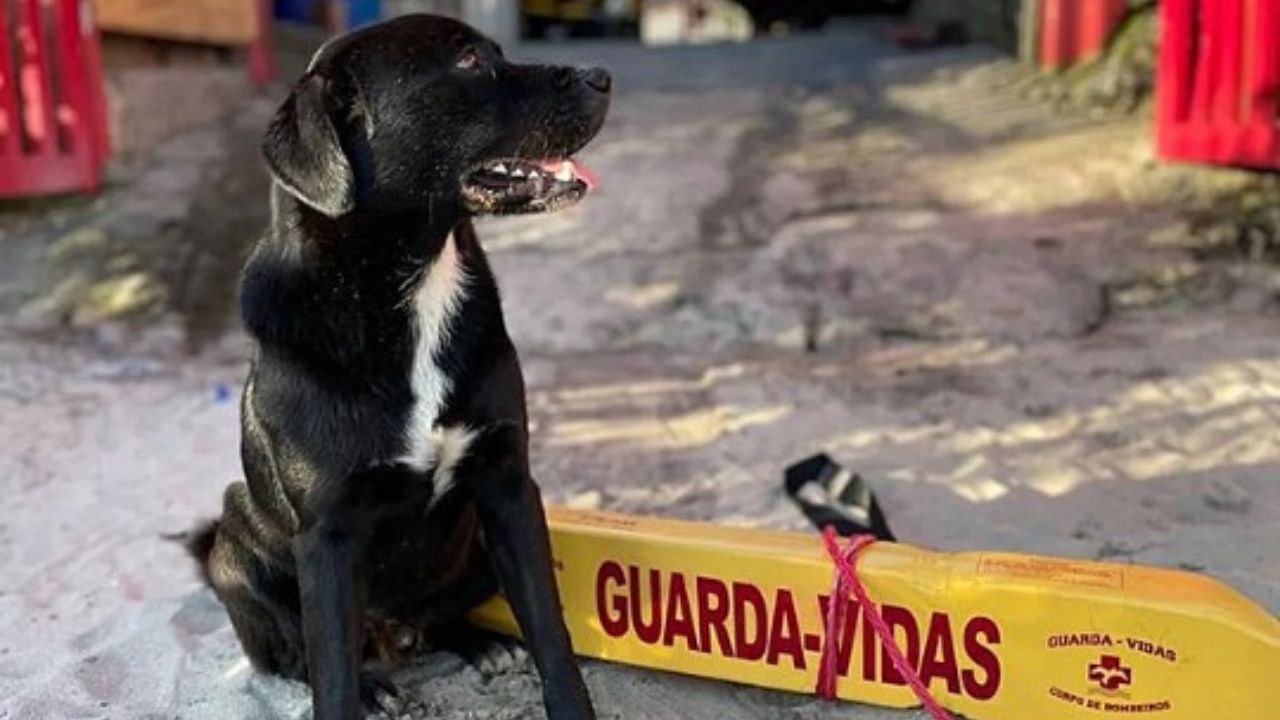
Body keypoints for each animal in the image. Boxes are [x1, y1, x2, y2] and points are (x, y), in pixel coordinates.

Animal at [184, 15, 609, 717]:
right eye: (469, 61)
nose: (602, 76)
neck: (414, 289)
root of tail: (391, 631)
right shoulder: (326, 538)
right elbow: (329, 674)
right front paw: (351, 691)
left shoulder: (510, 487)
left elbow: (551, 631)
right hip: (235, 539)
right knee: (298, 656)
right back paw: (375, 683)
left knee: (439, 619)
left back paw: (479, 643)